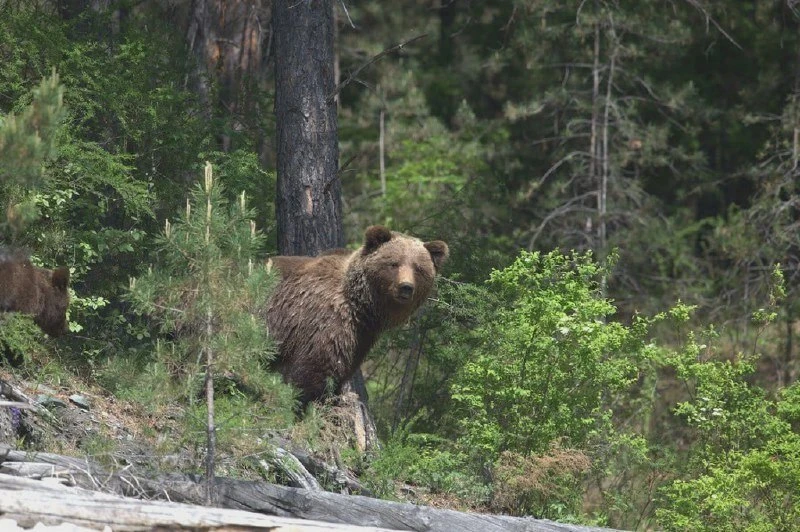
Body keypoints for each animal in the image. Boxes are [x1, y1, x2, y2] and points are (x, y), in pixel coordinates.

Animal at [267, 225, 448, 406]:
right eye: (394, 263)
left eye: (418, 268)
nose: (406, 287)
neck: (361, 307)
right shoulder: (324, 321)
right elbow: (314, 369)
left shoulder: (361, 337)